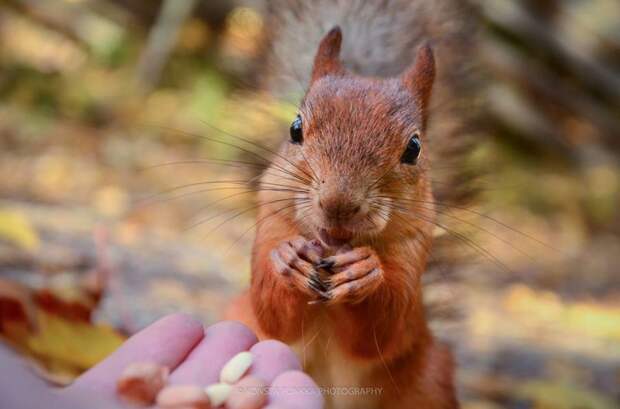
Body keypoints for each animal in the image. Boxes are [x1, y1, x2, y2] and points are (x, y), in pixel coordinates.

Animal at [228, 1, 474, 406]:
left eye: (414, 148)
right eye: (295, 128)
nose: (338, 204)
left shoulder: (413, 250)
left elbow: (381, 329)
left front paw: (364, 272)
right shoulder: (271, 222)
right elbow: (273, 315)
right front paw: (288, 259)